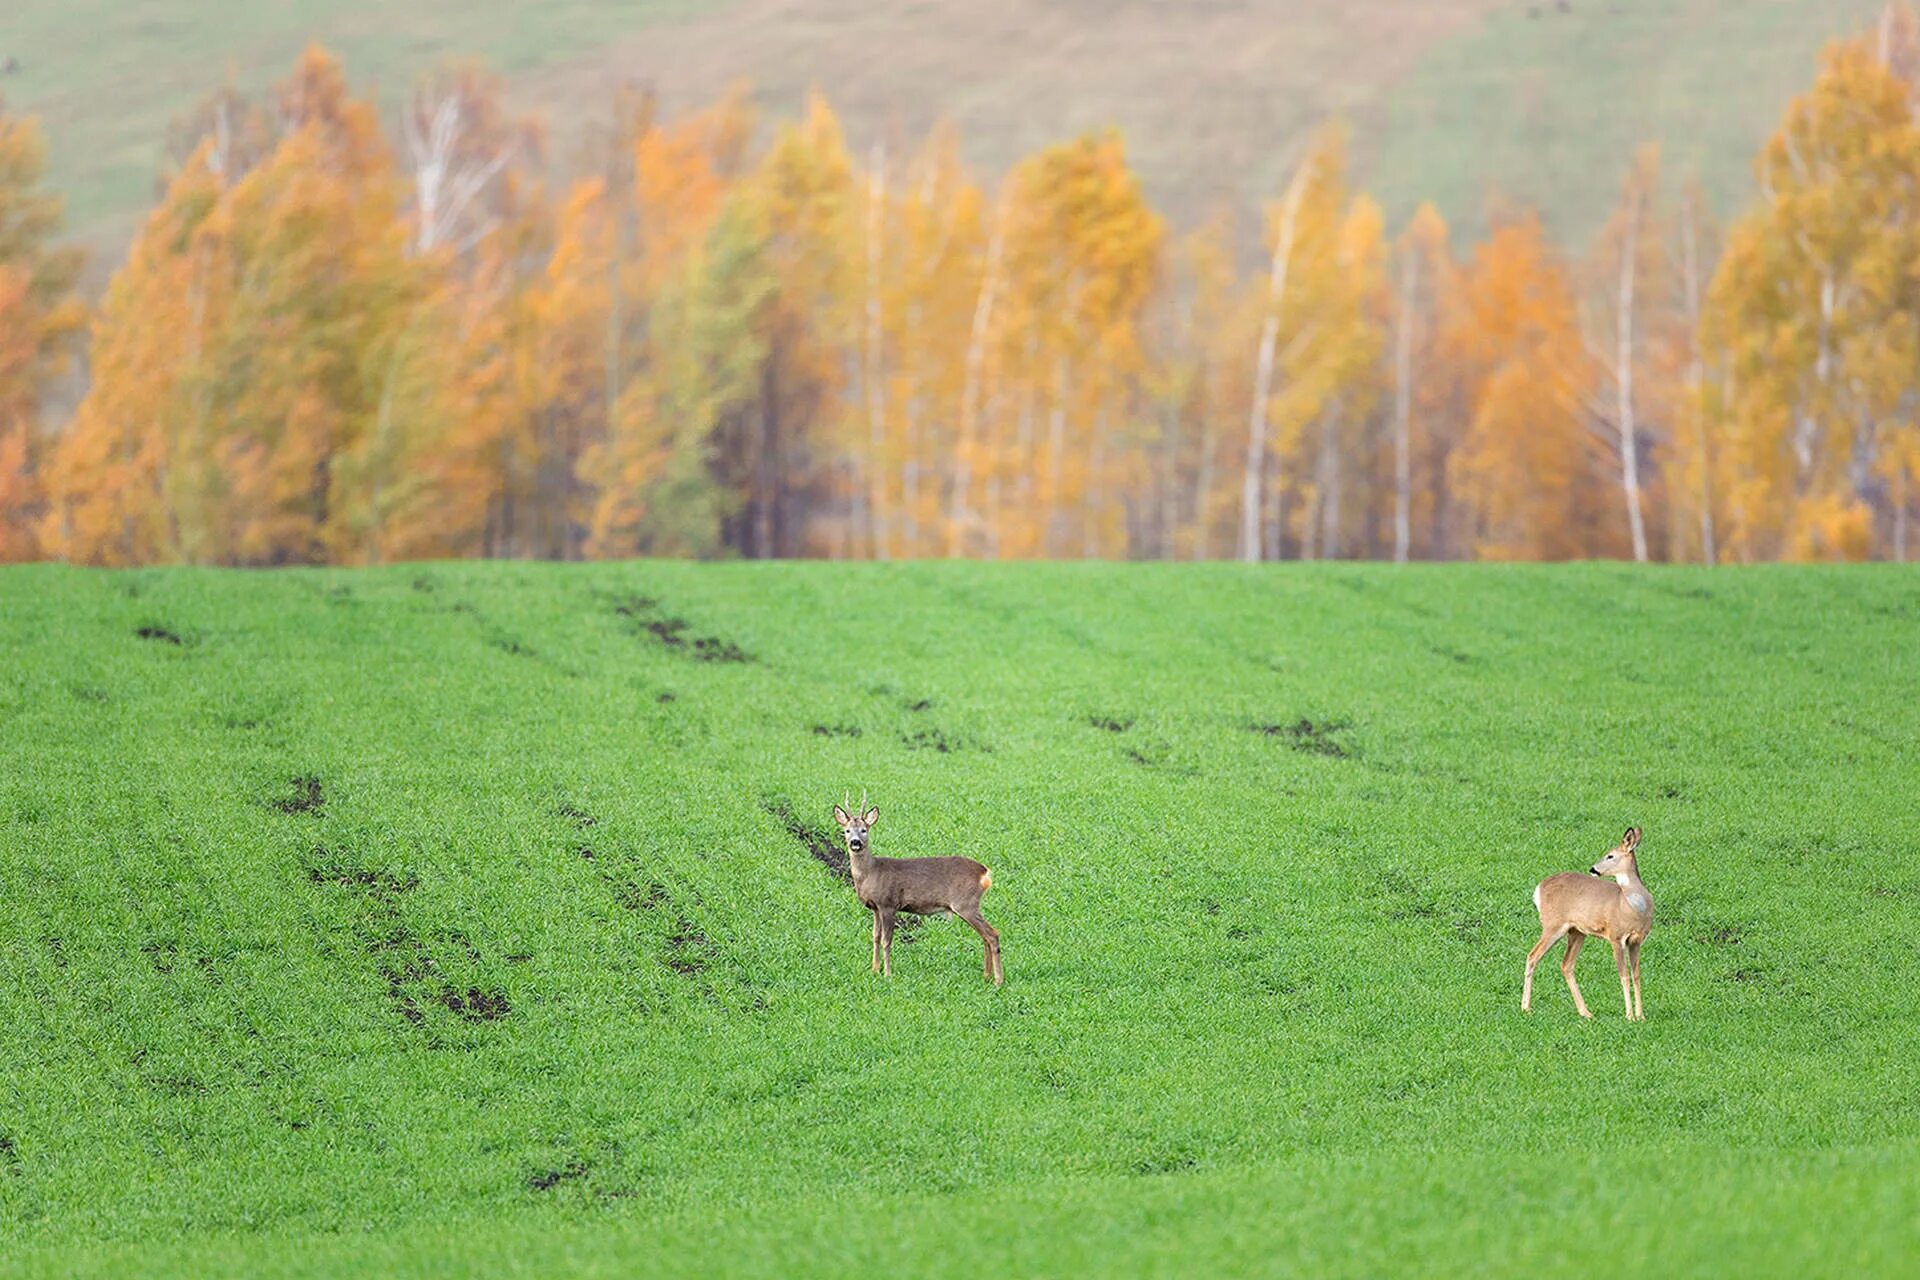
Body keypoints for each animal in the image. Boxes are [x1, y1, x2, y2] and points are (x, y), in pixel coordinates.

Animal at [837, 790, 1006, 990]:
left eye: (864, 830)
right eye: (847, 830)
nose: (855, 842)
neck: (870, 872)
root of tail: (985, 873)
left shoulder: (888, 904)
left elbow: (887, 940)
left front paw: (887, 974)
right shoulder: (875, 908)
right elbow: (875, 937)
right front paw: (874, 970)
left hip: (966, 904)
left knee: (992, 934)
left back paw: (998, 981)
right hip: (969, 906)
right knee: (985, 936)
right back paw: (986, 976)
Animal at [1520, 832, 1658, 1020]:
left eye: (1610, 856)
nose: (1593, 869)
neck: (1631, 905)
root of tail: (1538, 889)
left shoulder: (1636, 941)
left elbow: (1636, 975)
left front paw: (1641, 1016)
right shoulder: (1615, 937)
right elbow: (1624, 975)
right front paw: (1629, 1015)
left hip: (1577, 931)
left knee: (1566, 964)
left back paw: (1585, 1012)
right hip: (1553, 925)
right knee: (1533, 955)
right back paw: (1526, 1007)